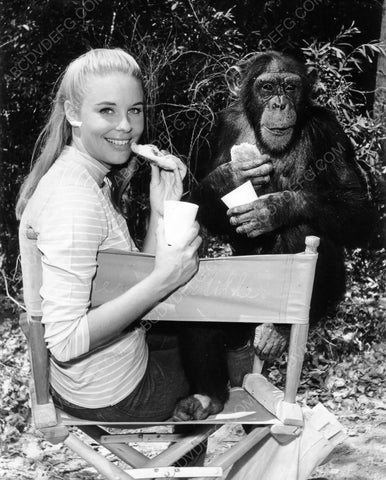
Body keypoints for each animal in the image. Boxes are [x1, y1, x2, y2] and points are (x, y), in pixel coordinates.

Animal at [172, 51, 380, 420]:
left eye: (290, 86)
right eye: (267, 87)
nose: (280, 103)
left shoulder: (330, 131)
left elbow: (358, 210)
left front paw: (274, 208)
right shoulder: (223, 126)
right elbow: (196, 203)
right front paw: (231, 176)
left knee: (303, 228)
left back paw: (278, 330)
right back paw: (206, 398)